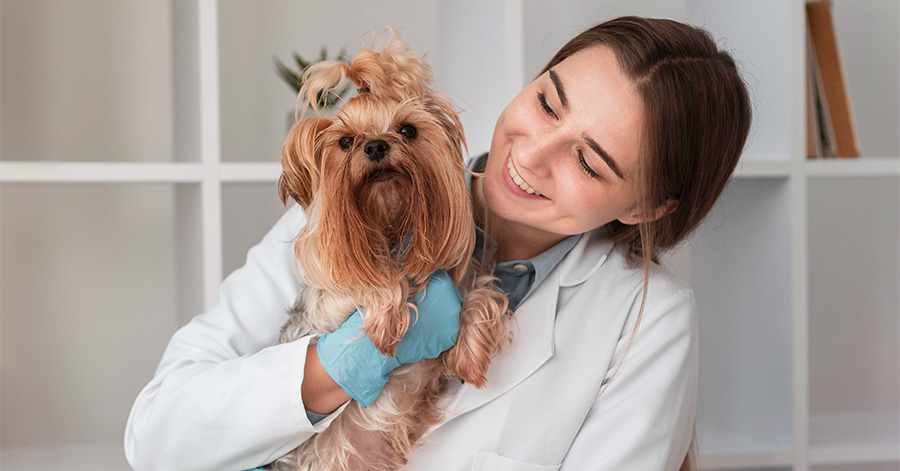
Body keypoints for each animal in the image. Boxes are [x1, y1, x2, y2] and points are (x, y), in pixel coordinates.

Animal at [268, 31, 512, 470]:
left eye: (408, 130)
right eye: (346, 142)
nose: (377, 146)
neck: (390, 227)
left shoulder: (456, 278)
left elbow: (483, 293)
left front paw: (470, 356)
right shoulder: (330, 305)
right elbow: (377, 280)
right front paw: (386, 323)